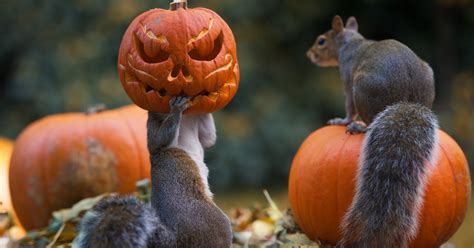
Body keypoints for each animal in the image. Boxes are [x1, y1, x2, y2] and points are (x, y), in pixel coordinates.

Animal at [72, 96, 233, 247]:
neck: (187, 118)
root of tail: (175, 240)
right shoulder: (153, 126)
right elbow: (159, 139)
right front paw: (176, 108)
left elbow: (208, 138)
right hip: (215, 222)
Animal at [310, 16, 438, 247]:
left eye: (321, 41)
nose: (310, 54)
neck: (351, 43)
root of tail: (407, 101)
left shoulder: (347, 79)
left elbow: (349, 108)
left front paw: (342, 120)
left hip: (362, 87)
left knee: (368, 120)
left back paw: (359, 126)